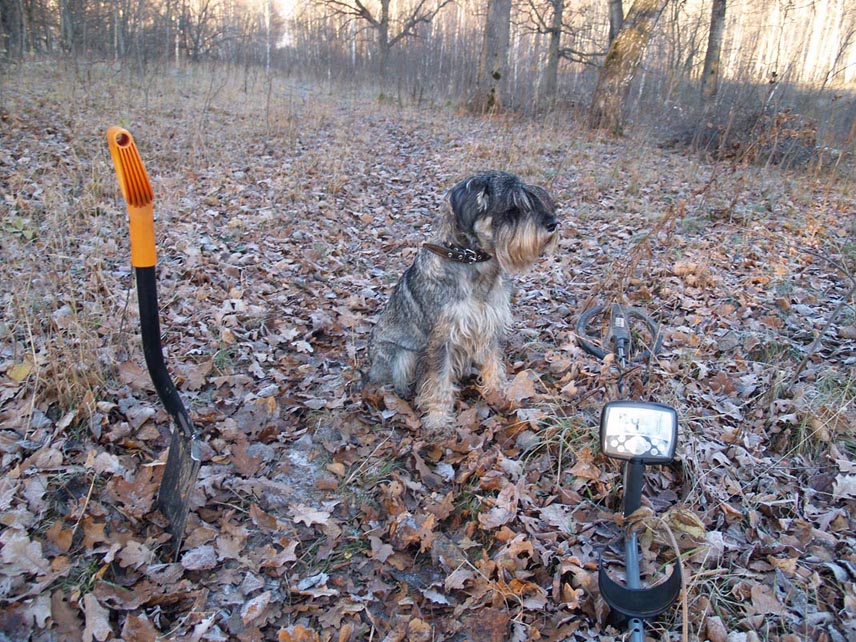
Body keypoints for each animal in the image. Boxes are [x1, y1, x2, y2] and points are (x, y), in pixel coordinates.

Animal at [363, 170, 559, 434]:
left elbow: (494, 365)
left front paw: (500, 393)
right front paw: (437, 419)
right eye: (512, 208)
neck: (471, 261)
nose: (553, 224)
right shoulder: (441, 339)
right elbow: (438, 381)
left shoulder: (489, 326)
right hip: (402, 356)